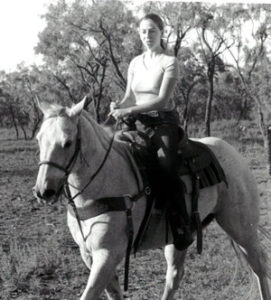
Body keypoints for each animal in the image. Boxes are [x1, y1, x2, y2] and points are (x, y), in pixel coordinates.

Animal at [33, 97, 270, 298]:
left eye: (68, 142)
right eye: (39, 139)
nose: (44, 191)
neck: (104, 180)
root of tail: (232, 153)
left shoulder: (107, 254)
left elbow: (89, 294)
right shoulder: (89, 255)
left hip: (242, 228)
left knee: (259, 266)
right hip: (179, 239)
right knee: (174, 277)